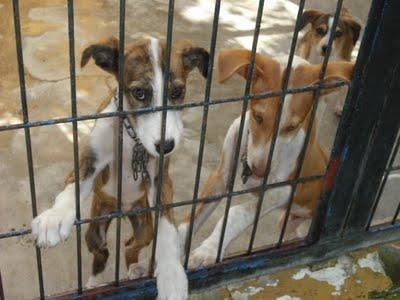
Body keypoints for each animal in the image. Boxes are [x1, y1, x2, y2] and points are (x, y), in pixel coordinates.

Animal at [30, 36, 209, 298]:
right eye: (139, 93)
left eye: (177, 92)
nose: (166, 146)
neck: (131, 137)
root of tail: (122, 211)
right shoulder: (89, 161)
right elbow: (73, 187)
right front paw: (55, 217)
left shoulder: (161, 180)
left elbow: (167, 228)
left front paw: (172, 275)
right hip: (95, 231)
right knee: (102, 253)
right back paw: (94, 283)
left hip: (144, 227)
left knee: (129, 247)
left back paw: (134, 269)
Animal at [178, 48, 354, 268]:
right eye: (258, 117)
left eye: (292, 127)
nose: (259, 172)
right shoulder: (220, 177)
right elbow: (191, 217)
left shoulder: (284, 189)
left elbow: (236, 213)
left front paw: (208, 250)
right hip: (287, 220)